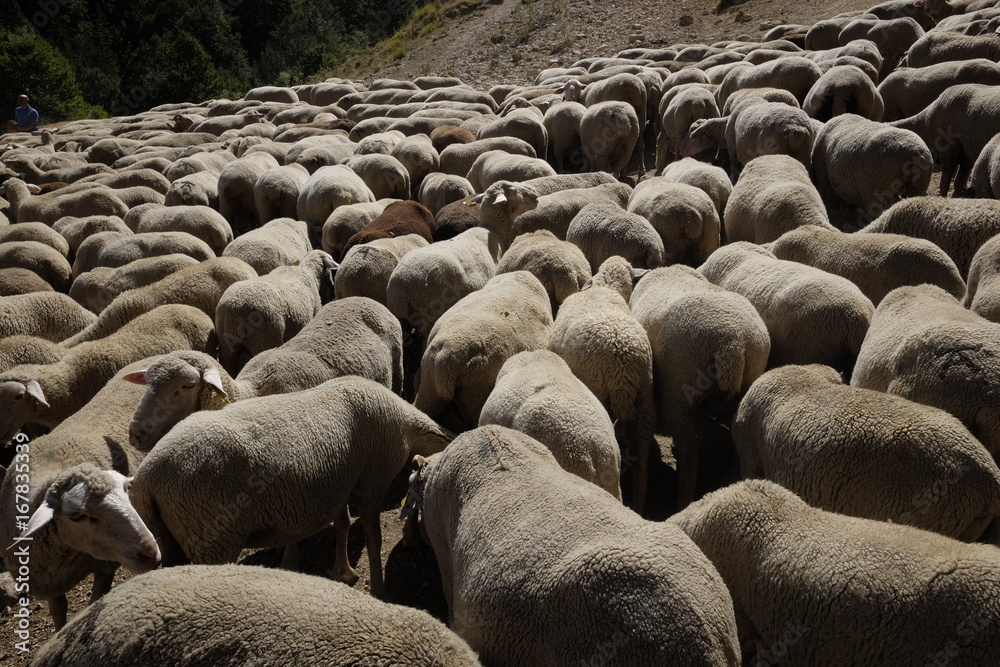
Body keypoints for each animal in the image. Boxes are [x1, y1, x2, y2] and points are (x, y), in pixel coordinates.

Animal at [129, 375, 451, 598]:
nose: (417, 538)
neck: (407, 426)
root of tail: (147, 477)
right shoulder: (372, 480)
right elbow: (373, 538)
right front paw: (380, 590)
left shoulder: (339, 481)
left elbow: (342, 525)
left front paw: (343, 571)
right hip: (211, 538)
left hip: (172, 539)